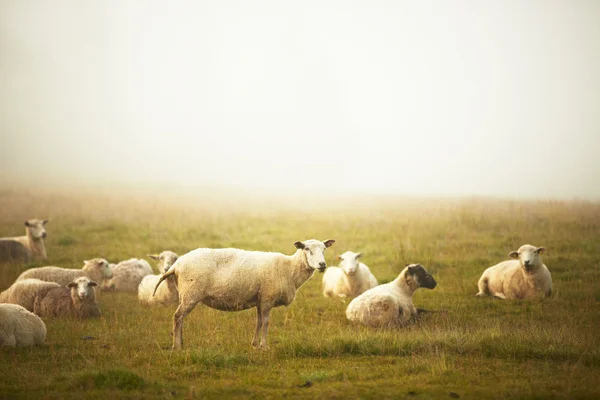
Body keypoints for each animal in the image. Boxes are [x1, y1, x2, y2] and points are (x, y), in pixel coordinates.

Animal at [152, 239, 336, 348]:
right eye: (307, 249)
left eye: (324, 249)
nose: (322, 265)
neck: (289, 268)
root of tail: (177, 265)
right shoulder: (267, 298)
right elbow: (266, 322)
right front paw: (264, 346)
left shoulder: (260, 299)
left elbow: (258, 322)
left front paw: (254, 344)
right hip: (191, 293)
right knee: (177, 317)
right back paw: (177, 346)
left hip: (184, 294)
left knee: (180, 318)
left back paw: (181, 343)